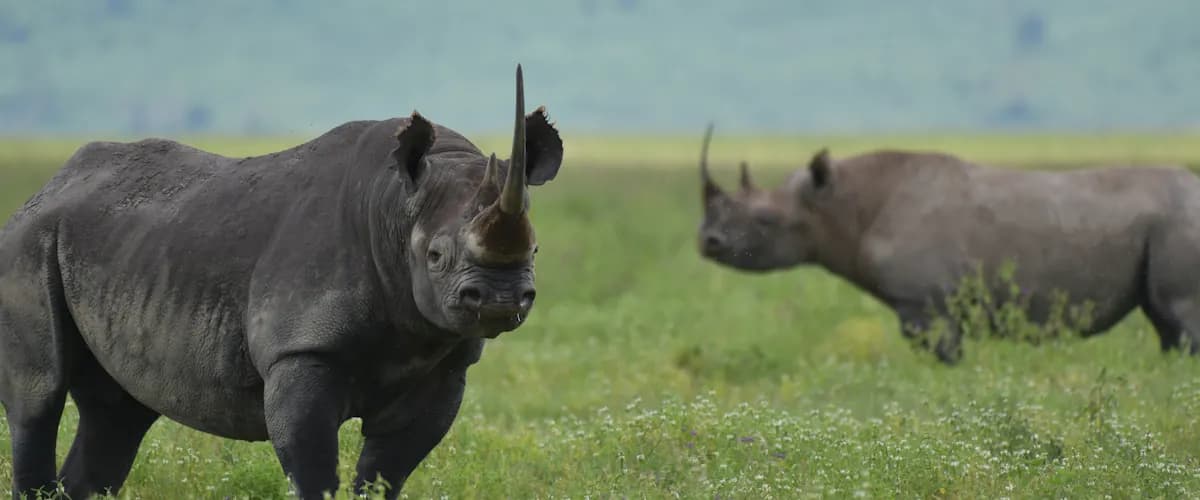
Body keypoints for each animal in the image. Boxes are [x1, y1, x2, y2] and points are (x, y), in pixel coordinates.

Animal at [0, 65, 563, 500]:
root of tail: (46, 187)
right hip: (27, 243)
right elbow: (313, 467)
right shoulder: (300, 350)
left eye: (536, 250)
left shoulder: (443, 366)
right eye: (435, 256)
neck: (395, 210)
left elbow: (386, 472)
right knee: (39, 397)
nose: (500, 299)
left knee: (117, 413)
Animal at [695, 125, 1200, 364]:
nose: (707, 242)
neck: (840, 205)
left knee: (1179, 316)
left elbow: (944, 359)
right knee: (1166, 326)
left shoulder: (926, 305)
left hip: (1181, 221)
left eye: (764, 221)